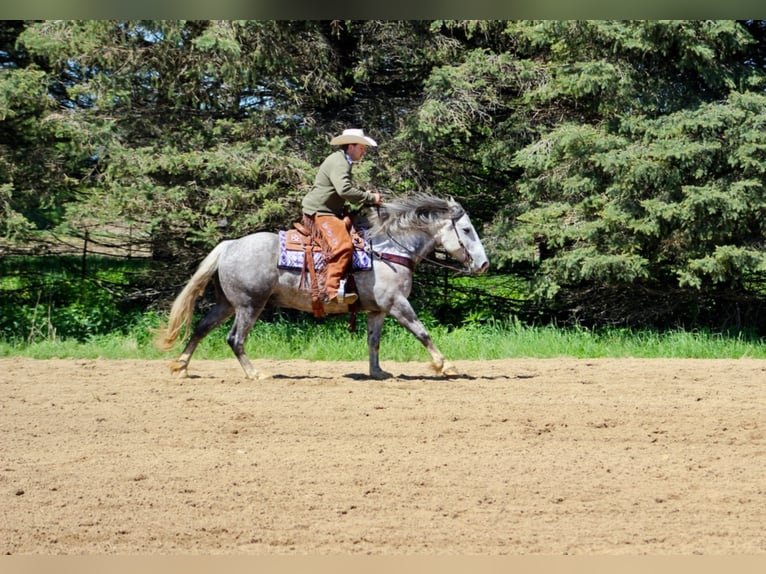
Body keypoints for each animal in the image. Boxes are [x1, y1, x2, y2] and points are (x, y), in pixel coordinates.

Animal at [157, 195, 492, 382]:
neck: (389, 251)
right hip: (250, 305)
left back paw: (181, 367)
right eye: (466, 230)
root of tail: (229, 245)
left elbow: (373, 342)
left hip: (227, 303)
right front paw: (446, 366)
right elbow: (423, 333)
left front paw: (378, 373)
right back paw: (254, 374)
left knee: (201, 328)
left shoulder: (377, 310)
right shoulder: (397, 304)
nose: (484, 264)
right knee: (235, 339)